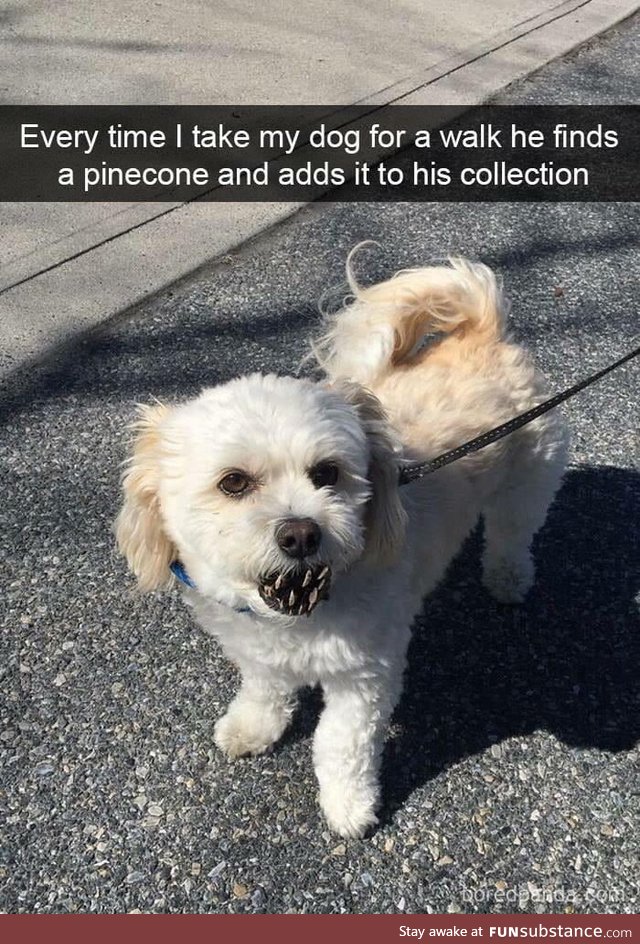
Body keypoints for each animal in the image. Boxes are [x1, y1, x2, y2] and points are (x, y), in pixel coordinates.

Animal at [116, 254, 568, 836]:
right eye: (233, 482)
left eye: (327, 473)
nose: (301, 532)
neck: (293, 611)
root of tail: (483, 327)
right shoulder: (256, 651)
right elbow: (264, 690)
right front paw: (252, 727)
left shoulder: (364, 674)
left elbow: (340, 744)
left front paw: (349, 806)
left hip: (529, 480)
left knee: (513, 534)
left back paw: (507, 579)